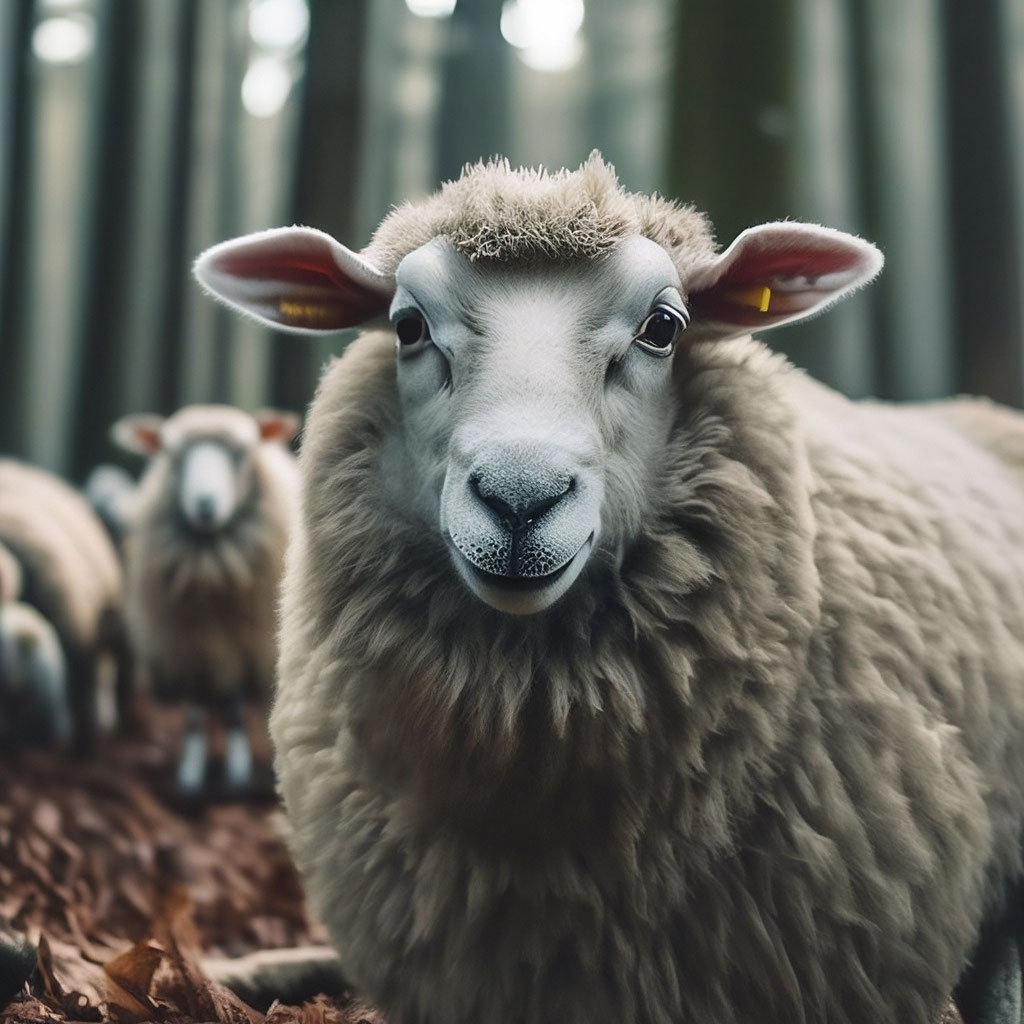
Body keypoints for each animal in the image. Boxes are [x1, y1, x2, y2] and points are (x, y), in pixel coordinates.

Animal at [112, 403, 299, 793]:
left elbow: (233, 711)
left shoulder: (243, 646)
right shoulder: (190, 647)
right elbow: (196, 714)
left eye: (243, 452)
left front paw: (239, 775)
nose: (205, 505)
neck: (210, 565)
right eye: (170, 455)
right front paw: (190, 774)